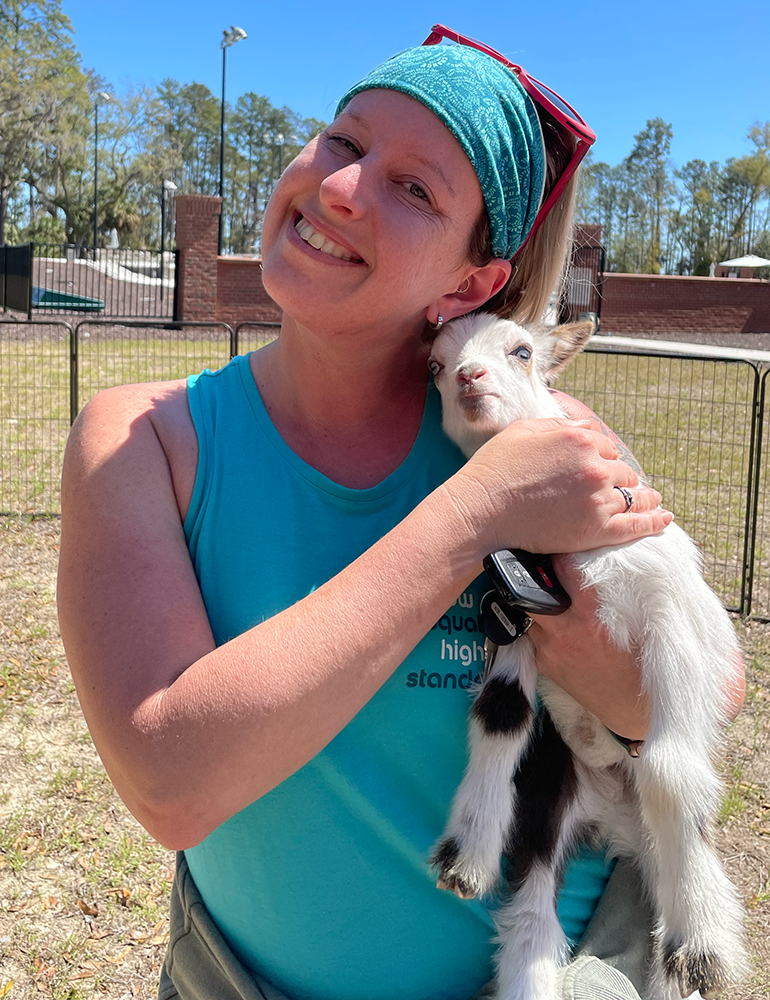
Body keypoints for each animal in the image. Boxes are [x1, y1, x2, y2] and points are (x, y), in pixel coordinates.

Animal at [428, 313, 747, 1000]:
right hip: (552, 794)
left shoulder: (667, 611)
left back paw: (690, 934)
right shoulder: (516, 617)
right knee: (533, 917)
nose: (468, 376)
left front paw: (700, 944)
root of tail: (617, 824)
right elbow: (502, 713)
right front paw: (466, 858)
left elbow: (670, 769)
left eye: (522, 351)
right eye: (433, 365)